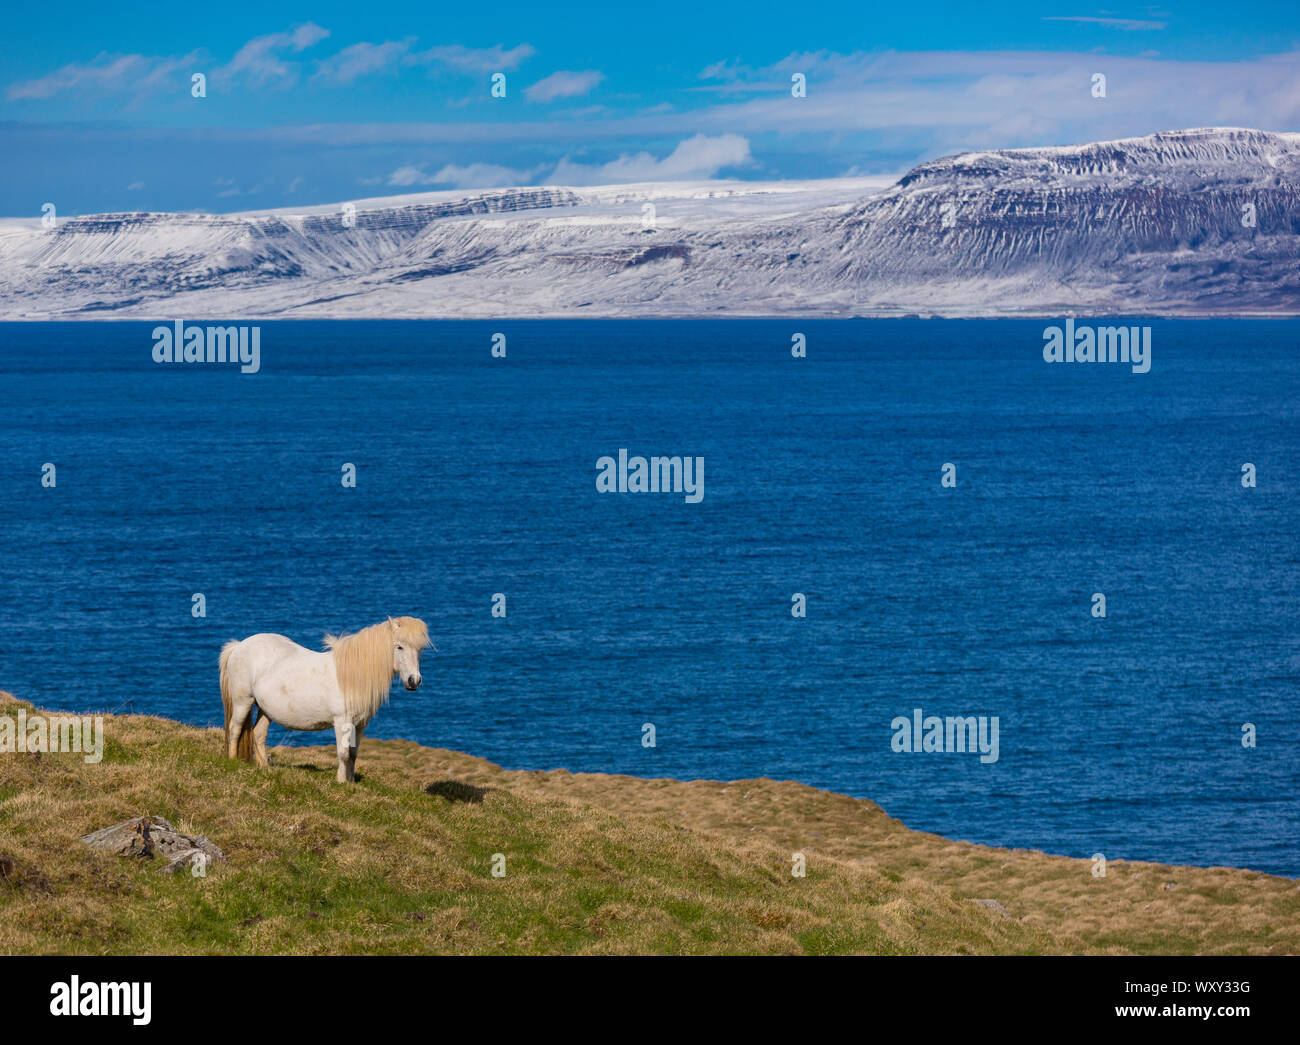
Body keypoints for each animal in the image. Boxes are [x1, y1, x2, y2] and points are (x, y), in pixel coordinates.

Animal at [219, 616, 432, 783]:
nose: (414, 681)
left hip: (266, 710)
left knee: (258, 734)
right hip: (243, 701)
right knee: (235, 729)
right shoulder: (342, 722)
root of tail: (239, 646)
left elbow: (353, 754)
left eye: (420, 649)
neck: (351, 677)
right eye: (399, 646)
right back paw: (232, 761)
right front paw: (341, 782)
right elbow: (343, 753)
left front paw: (351, 782)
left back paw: (265, 768)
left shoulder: (360, 724)